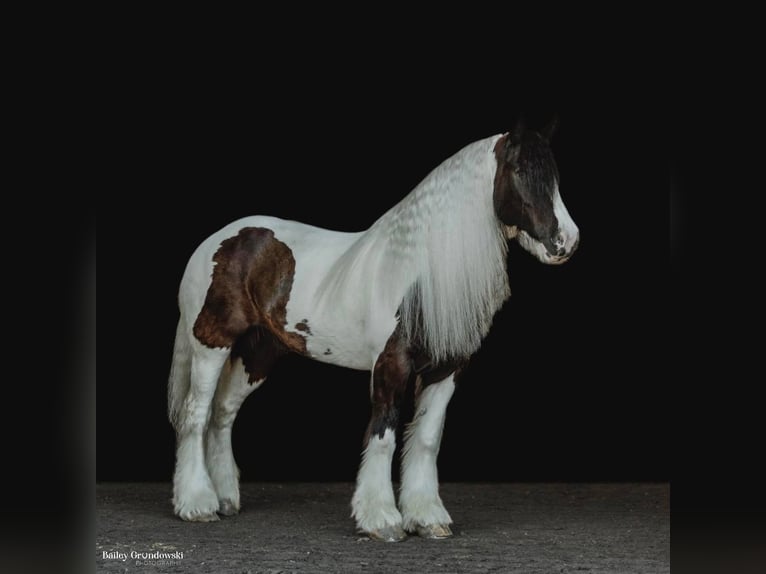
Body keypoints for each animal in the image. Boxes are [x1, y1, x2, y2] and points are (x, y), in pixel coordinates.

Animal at [165, 118, 580, 544]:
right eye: (520, 172)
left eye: (555, 177)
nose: (566, 241)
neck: (417, 274)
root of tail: (217, 241)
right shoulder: (391, 366)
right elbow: (384, 435)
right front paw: (381, 520)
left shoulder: (446, 369)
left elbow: (426, 438)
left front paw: (428, 518)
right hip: (211, 344)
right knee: (196, 414)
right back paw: (197, 505)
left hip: (258, 354)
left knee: (223, 414)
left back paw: (224, 498)